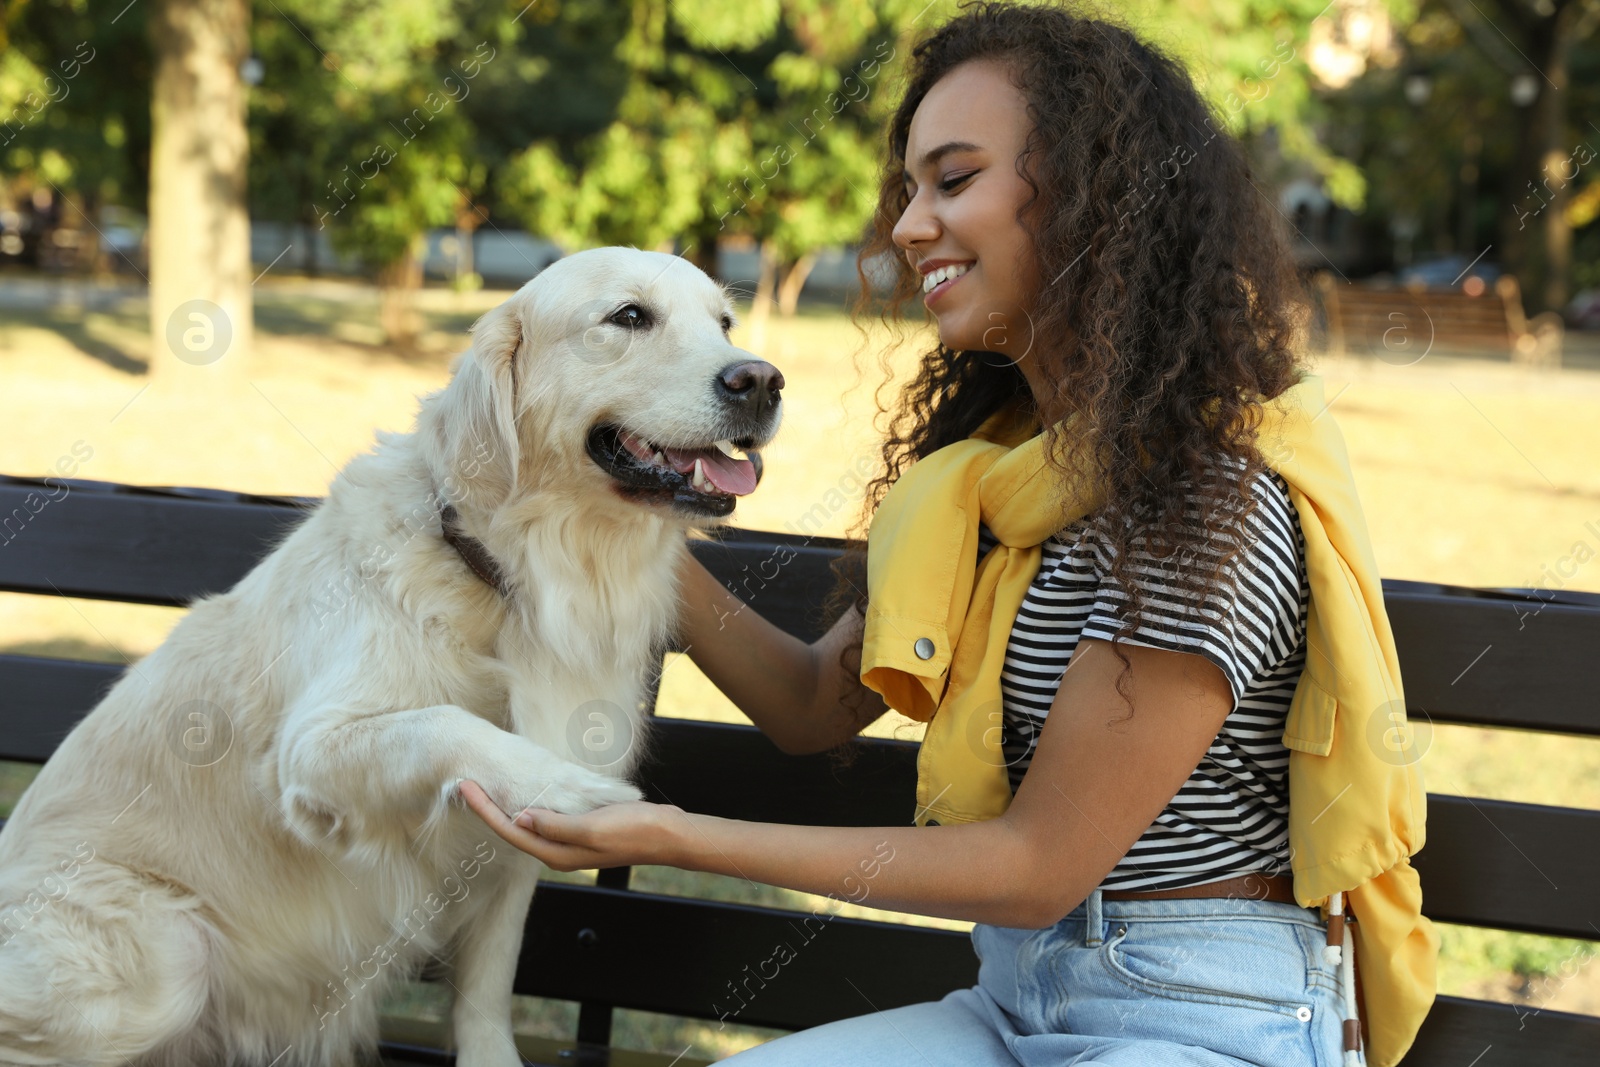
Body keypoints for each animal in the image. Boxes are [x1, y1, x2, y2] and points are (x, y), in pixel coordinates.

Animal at [0, 247, 780, 1067]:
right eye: (629, 316)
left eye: (725, 323)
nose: (762, 380)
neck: (510, 574)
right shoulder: (310, 753)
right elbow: (442, 724)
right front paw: (561, 782)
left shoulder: (506, 865)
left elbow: (486, 992)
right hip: (167, 954)